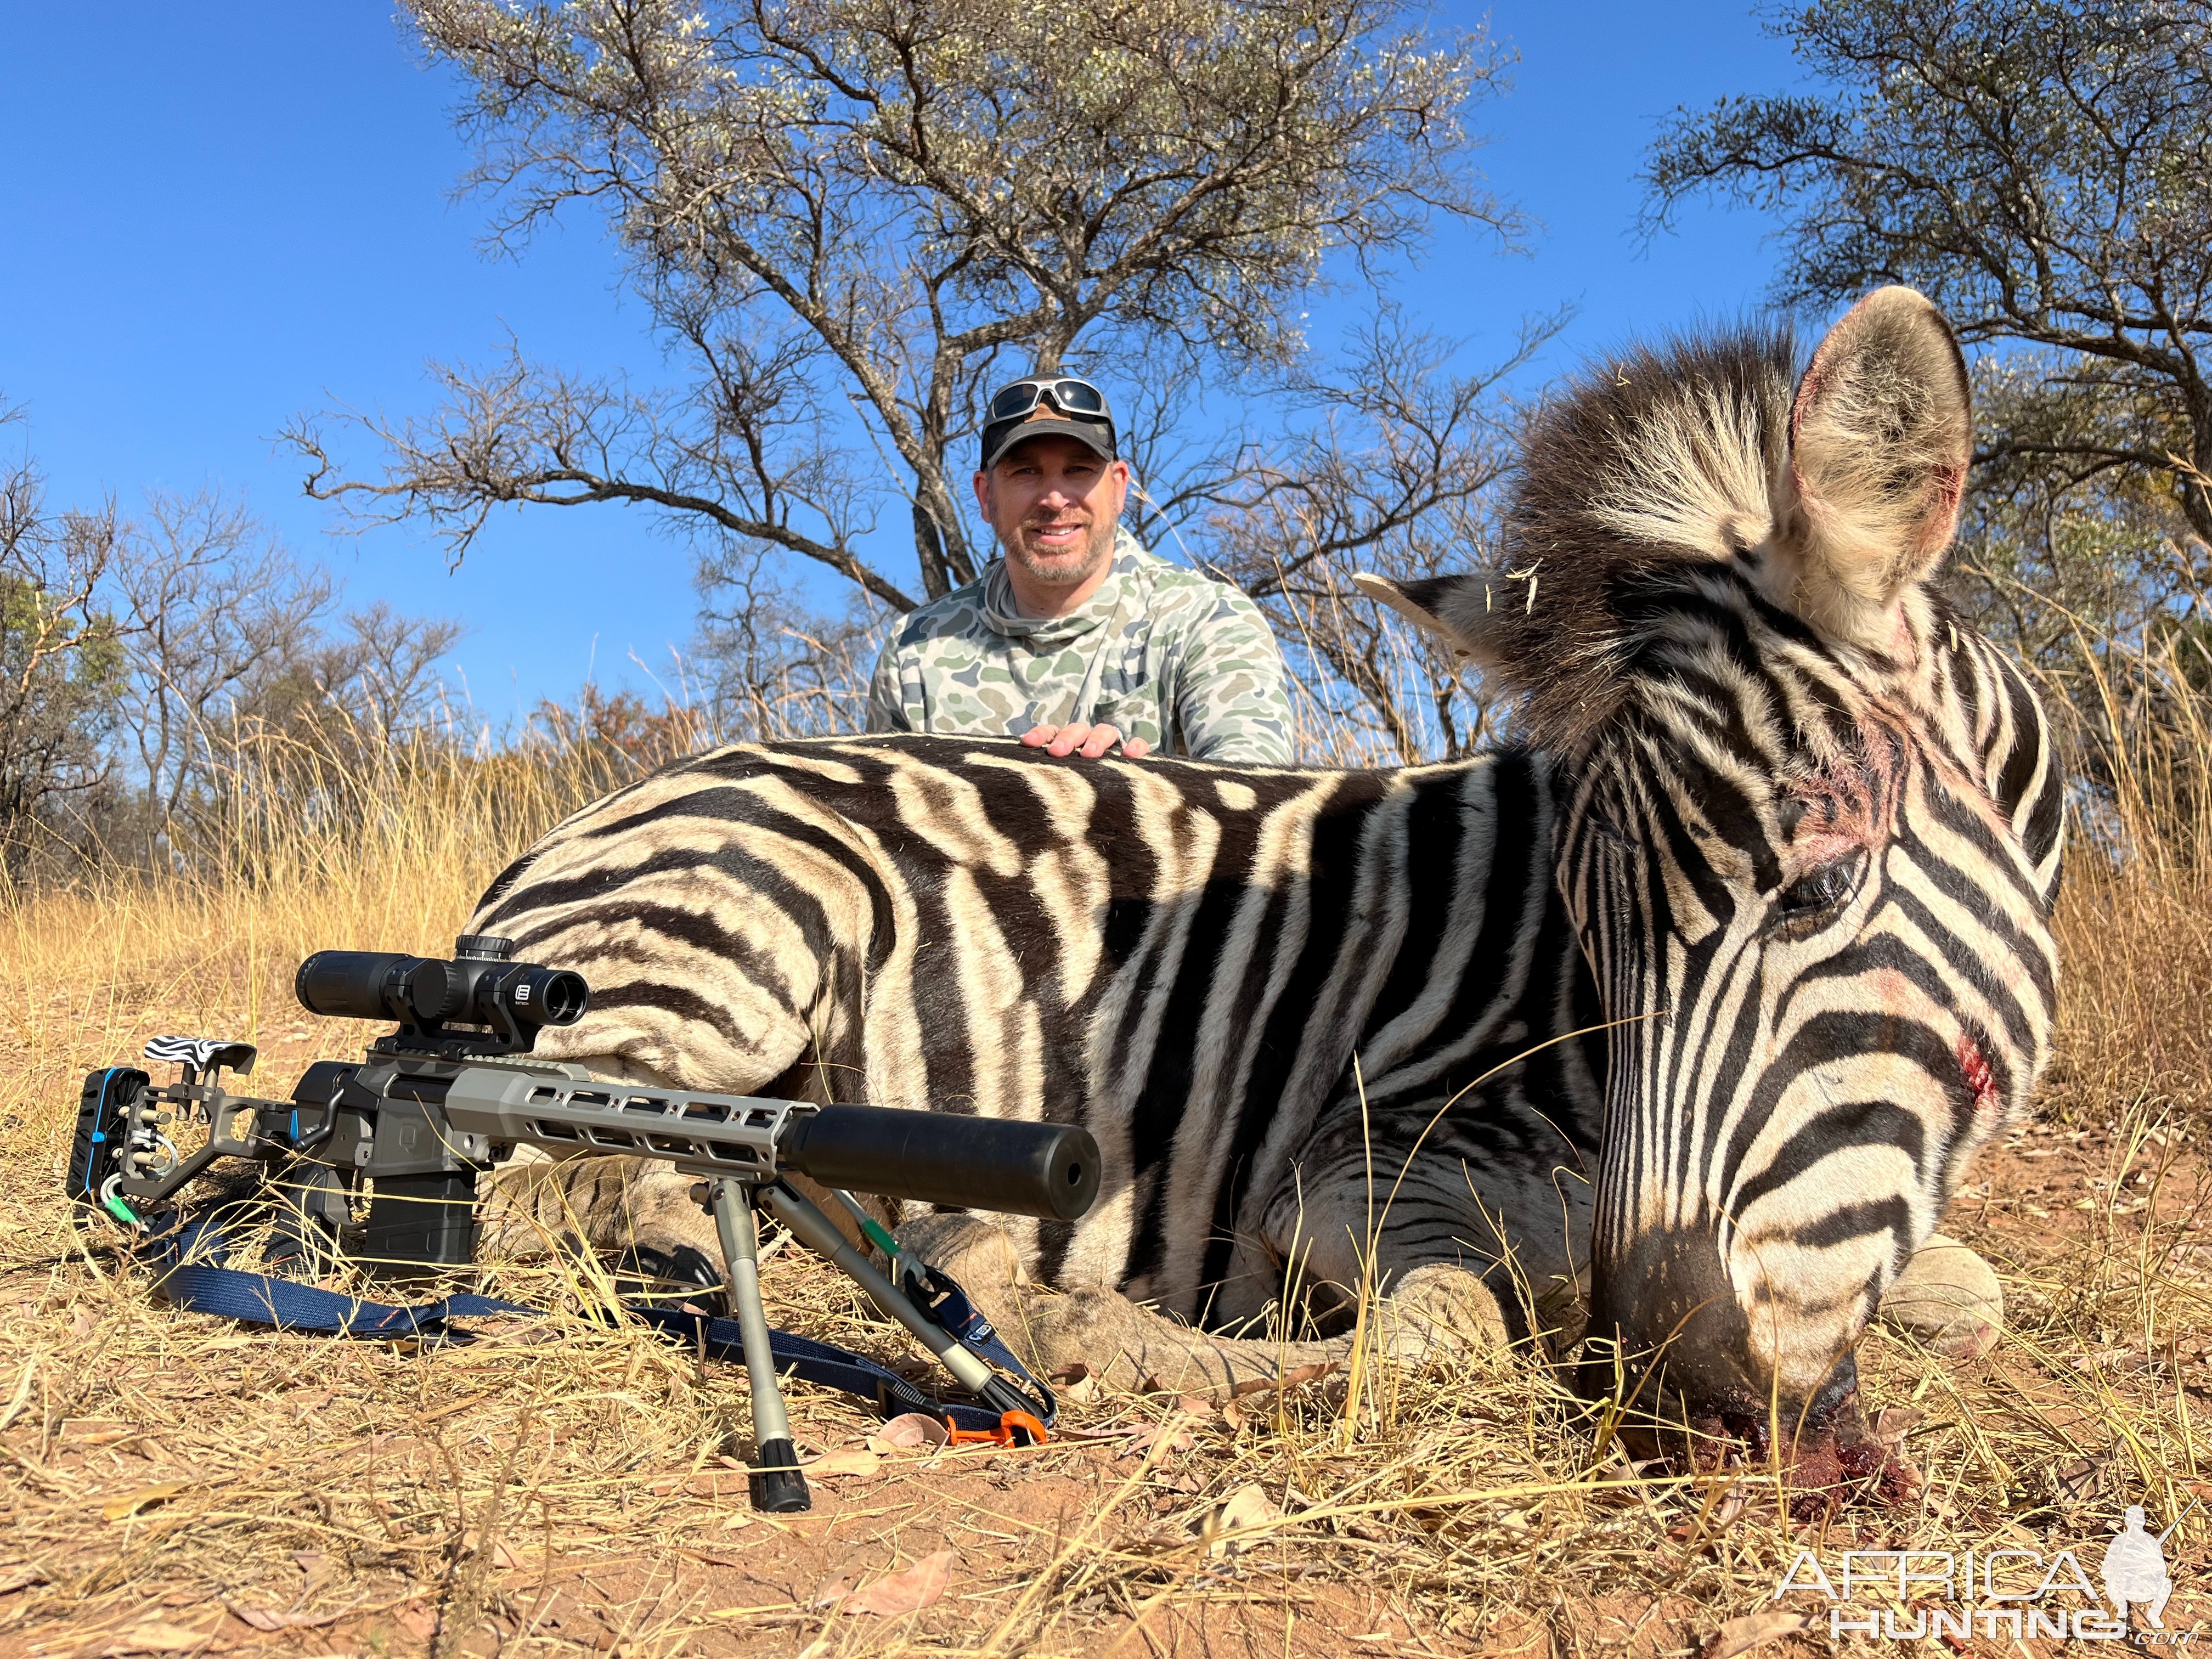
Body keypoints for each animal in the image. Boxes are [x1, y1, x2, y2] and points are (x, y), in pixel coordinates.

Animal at [475, 292, 2061, 1460]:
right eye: (1589, 936)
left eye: (1817, 892)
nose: (1689, 1387)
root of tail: (581, 826)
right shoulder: (1355, 1168)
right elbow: (1451, 1328)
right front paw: (1085, 1337)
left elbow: (1965, 1286)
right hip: (739, 948)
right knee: (583, 1183)